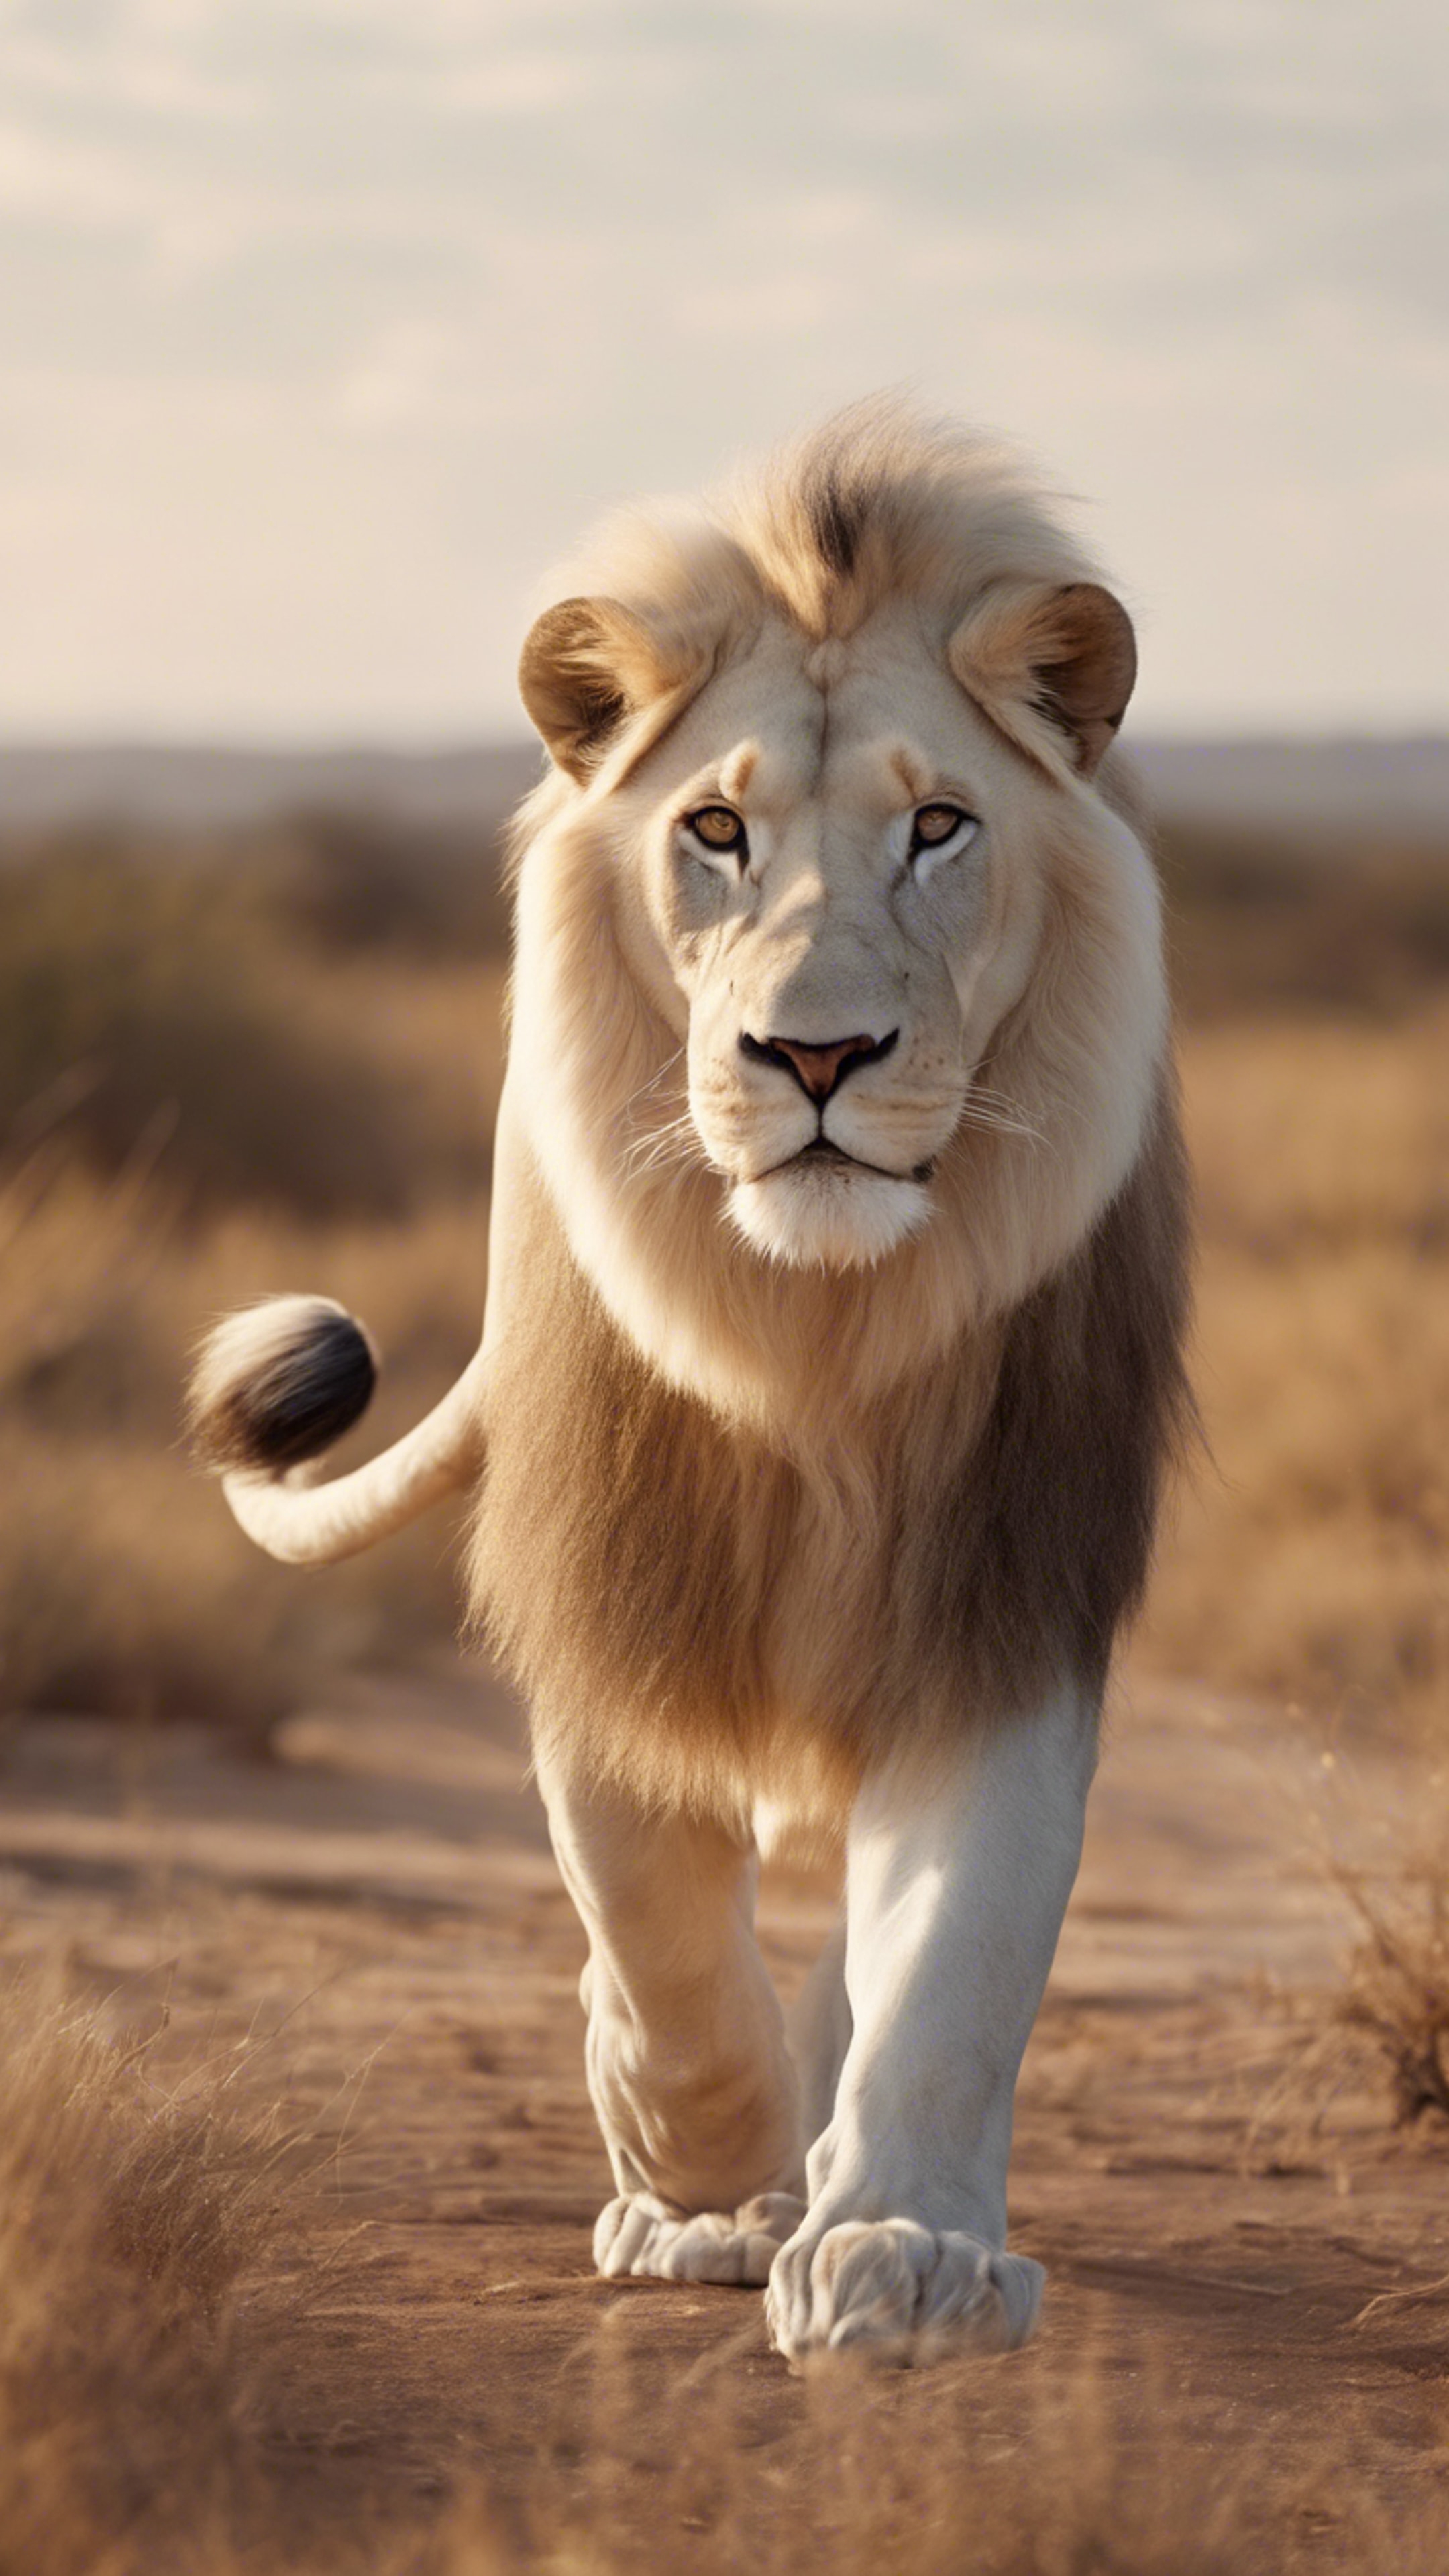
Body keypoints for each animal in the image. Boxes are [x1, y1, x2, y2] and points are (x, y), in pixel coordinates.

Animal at [189, 400, 1191, 2363]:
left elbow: (959, 1947)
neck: (813, 1328)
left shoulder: (1004, 1585)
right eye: (714, 830)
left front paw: (906, 2252)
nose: (814, 1053)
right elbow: (651, 1926)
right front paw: (711, 2191)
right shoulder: (607, 1572)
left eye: (940, 827)